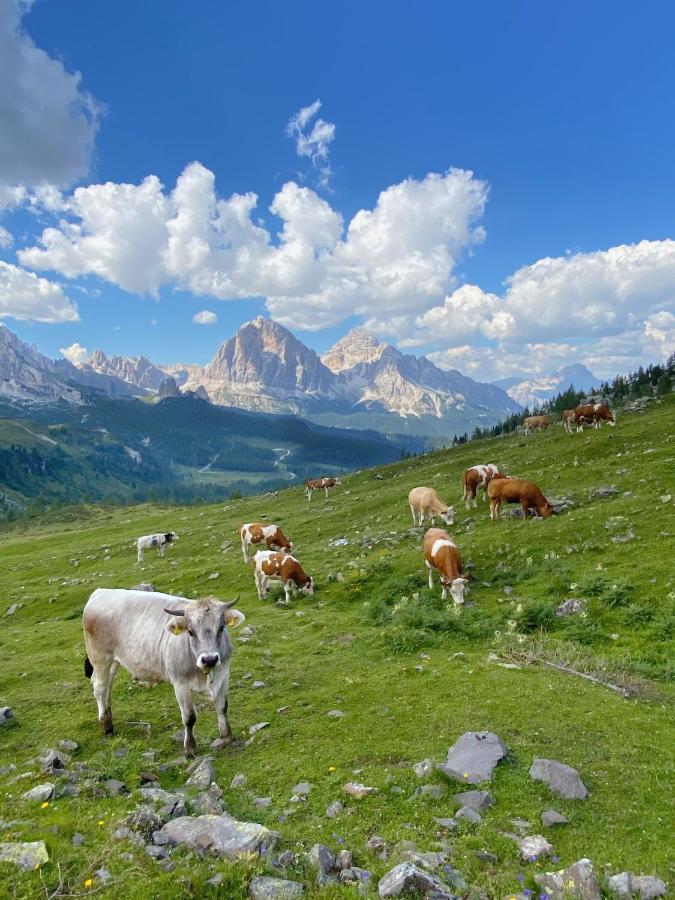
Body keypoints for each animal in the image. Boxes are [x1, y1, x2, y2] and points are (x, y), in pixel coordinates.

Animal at [82, 588, 246, 756]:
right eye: (190, 632)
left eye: (221, 628)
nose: (209, 659)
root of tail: (101, 591)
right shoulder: (181, 684)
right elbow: (189, 718)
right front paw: (190, 748)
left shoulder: (224, 675)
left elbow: (222, 707)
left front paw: (227, 737)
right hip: (100, 657)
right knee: (100, 687)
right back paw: (106, 724)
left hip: (114, 661)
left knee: (108, 684)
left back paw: (109, 714)